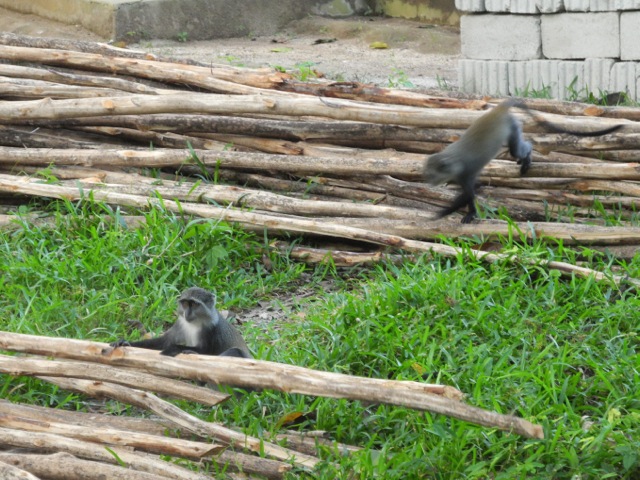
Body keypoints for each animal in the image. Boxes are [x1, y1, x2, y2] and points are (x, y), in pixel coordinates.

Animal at [111, 286, 251, 358]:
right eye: (185, 303)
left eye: (194, 304)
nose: (187, 313)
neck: (195, 323)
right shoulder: (180, 323)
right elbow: (163, 342)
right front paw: (125, 343)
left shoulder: (211, 329)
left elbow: (207, 352)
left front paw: (174, 348)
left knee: (234, 352)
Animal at [422, 99, 624, 225]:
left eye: (433, 175)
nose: (429, 182)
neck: (453, 159)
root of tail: (498, 109)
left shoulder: (466, 173)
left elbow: (471, 192)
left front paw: (448, 213)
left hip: (511, 125)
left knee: (518, 149)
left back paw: (527, 156)